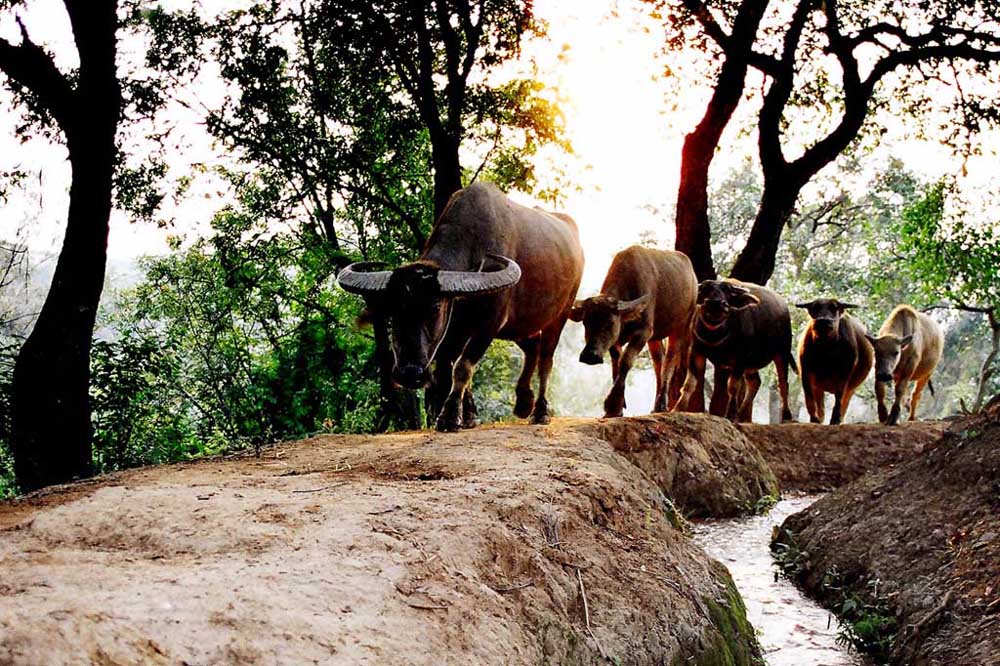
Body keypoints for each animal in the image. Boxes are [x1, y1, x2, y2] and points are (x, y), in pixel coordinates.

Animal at [338, 182, 584, 430]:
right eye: (393, 310)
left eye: (435, 307)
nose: (410, 373)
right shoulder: (455, 329)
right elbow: (451, 364)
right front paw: (468, 415)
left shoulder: (489, 325)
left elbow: (463, 366)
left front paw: (448, 417)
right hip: (520, 324)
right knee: (533, 346)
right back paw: (523, 402)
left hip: (560, 314)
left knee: (546, 360)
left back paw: (540, 411)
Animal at [572, 246, 696, 418]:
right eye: (586, 322)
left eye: (610, 323)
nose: (590, 355)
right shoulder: (617, 340)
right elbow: (616, 364)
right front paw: (617, 408)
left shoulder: (643, 332)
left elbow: (625, 361)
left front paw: (612, 405)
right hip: (655, 337)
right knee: (658, 361)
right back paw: (656, 405)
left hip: (681, 327)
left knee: (670, 359)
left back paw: (662, 405)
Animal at [672, 278, 796, 422]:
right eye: (707, 289)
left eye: (727, 291)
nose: (716, 303)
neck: (715, 334)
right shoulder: (696, 351)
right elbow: (689, 383)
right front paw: (678, 408)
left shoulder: (740, 358)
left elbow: (732, 386)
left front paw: (730, 414)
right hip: (751, 364)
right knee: (755, 382)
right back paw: (741, 414)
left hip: (782, 353)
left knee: (783, 384)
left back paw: (786, 415)